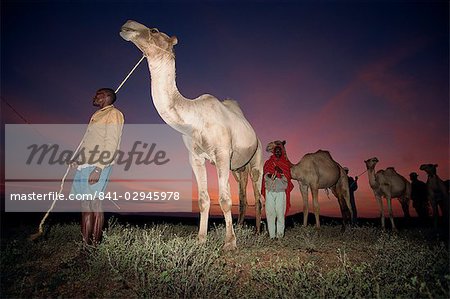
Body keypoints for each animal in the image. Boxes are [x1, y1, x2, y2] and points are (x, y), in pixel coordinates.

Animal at [119, 19, 264, 251]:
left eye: (154, 30)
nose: (127, 25)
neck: (195, 119)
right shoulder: (195, 157)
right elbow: (204, 199)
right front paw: (201, 239)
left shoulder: (222, 153)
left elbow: (224, 199)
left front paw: (229, 243)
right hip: (238, 168)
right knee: (243, 195)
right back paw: (243, 227)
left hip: (256, 160)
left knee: (258, 196)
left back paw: (260, 232)